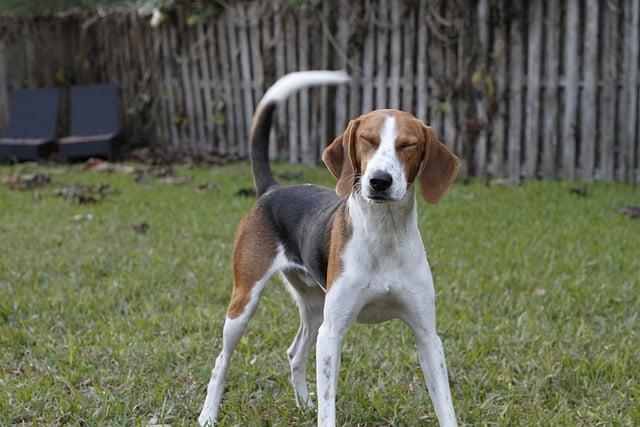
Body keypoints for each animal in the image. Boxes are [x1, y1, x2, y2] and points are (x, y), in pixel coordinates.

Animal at [198, 72, 458, 426]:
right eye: (367, 140)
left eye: (408, 145)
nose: (380, 181)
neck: (385, 233)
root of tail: (272, 189)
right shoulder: (332, 333)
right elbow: (328, 407)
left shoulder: (428, 337)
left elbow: (446, 407)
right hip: (245, 302)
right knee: (221, 361)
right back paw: (208, 414)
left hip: (314, 307)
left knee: (294, 354)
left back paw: (303, 404)